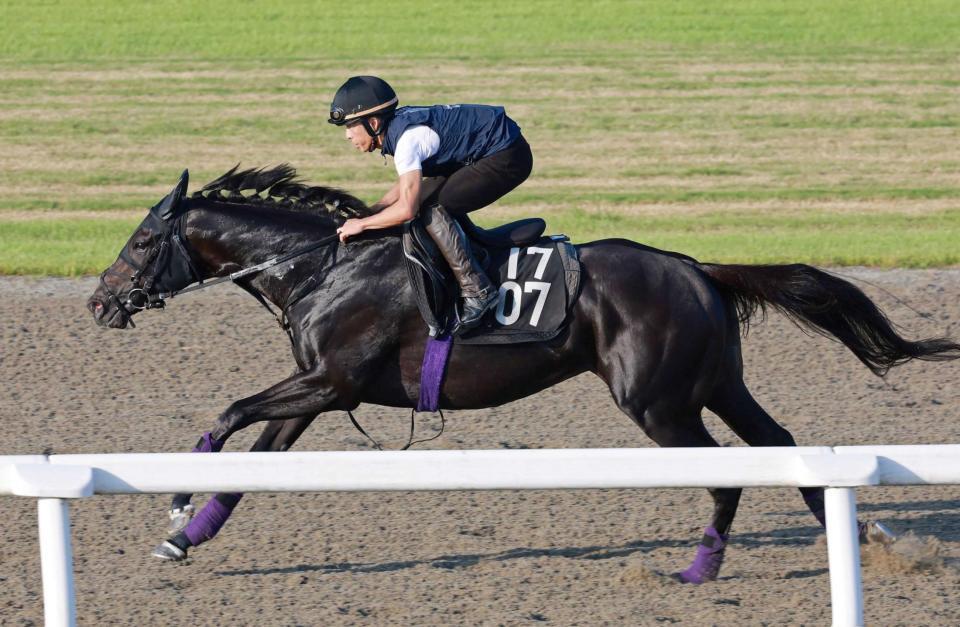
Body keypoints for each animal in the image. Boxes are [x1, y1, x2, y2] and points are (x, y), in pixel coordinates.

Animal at [86, 164, 956, 580]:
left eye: (140, 240)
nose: (98, 302)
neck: (321, 266)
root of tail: (694, 265)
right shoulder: (319, 390)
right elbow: (254, 462)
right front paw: (184, 537)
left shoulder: (334, 383)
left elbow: (230, 413)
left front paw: (174, 497)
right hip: (716, 383)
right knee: (786, 448)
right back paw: (871, 537)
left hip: (659, 403)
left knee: (727, 474)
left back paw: (699, 568)